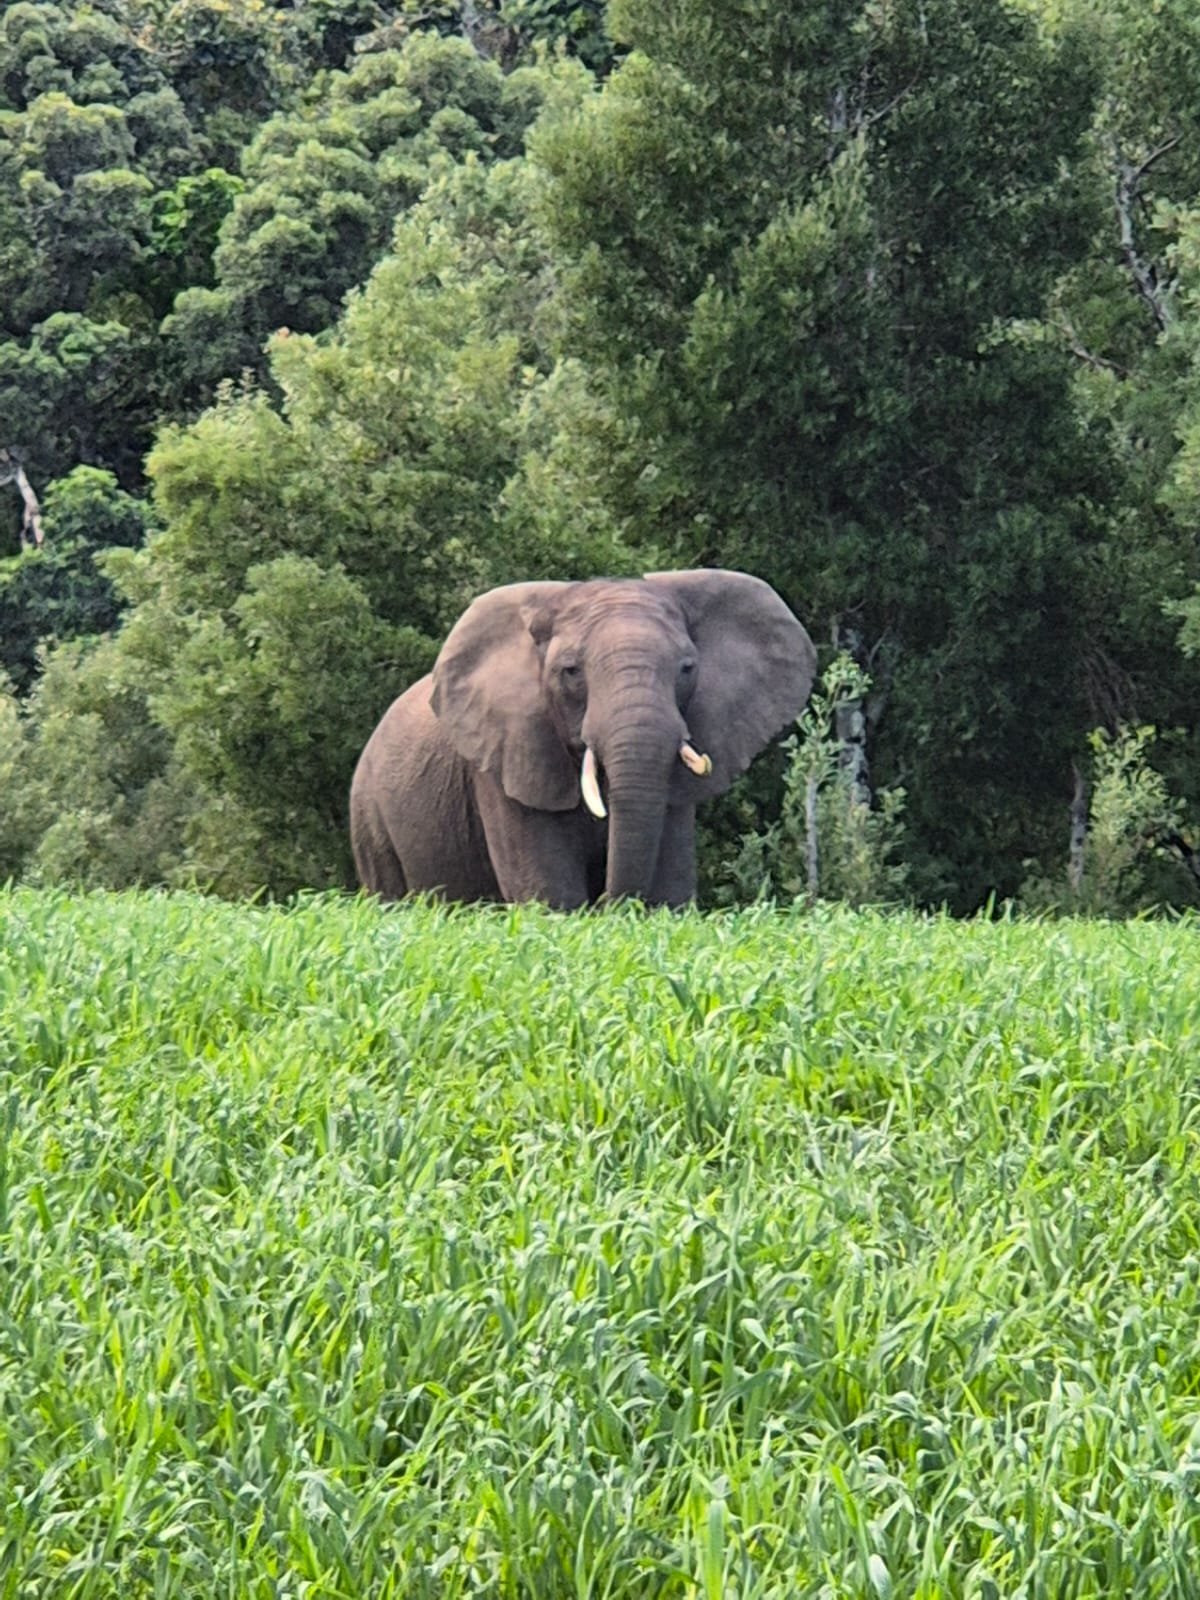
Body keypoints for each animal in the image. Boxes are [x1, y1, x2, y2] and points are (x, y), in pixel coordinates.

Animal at [349, 568, 817, 908]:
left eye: (687, 668)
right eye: (570, 672)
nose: (611, 907)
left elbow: (670, 886)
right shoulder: (508, 760)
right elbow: (548, 892)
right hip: (368, 812)